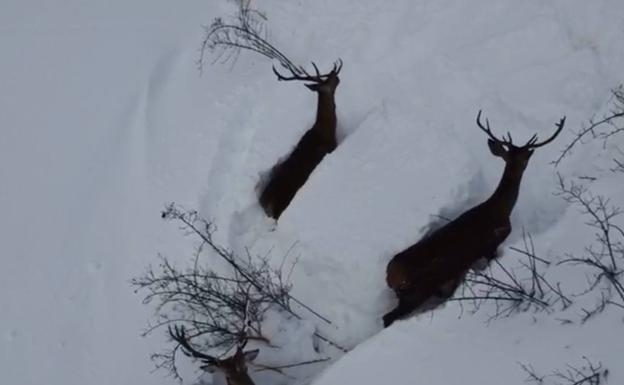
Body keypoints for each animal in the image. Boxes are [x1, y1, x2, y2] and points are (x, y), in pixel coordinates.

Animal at [260, 58, 344, 218]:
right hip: (282, 203)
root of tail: (263, 204)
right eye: (325, 82)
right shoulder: (331, 148)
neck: (327, 131)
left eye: (326, 77)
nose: (335, 75)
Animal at [380, 109, 564, 326]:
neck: (501, 209)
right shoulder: (491, 243)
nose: (527, 160)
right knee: (387, 317)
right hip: (417, 290)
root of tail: (390, 276)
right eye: (525, 158)